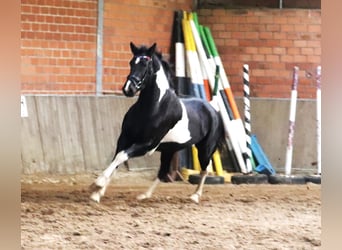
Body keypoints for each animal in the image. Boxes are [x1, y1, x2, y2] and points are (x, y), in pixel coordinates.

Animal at [89, 42, 226, 204]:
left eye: (145, 64)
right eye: (131, 62)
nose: (128, 89)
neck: (153, 108)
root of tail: (213, 109)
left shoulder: (147, 145)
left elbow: (121, 157)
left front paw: (98, 184)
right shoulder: (124, 139)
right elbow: (117, 160)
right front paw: (97, 193)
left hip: (205, 148)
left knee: (205, 169)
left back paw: (195, 196)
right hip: (169, 150)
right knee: (162, 172)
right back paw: (144, 195)